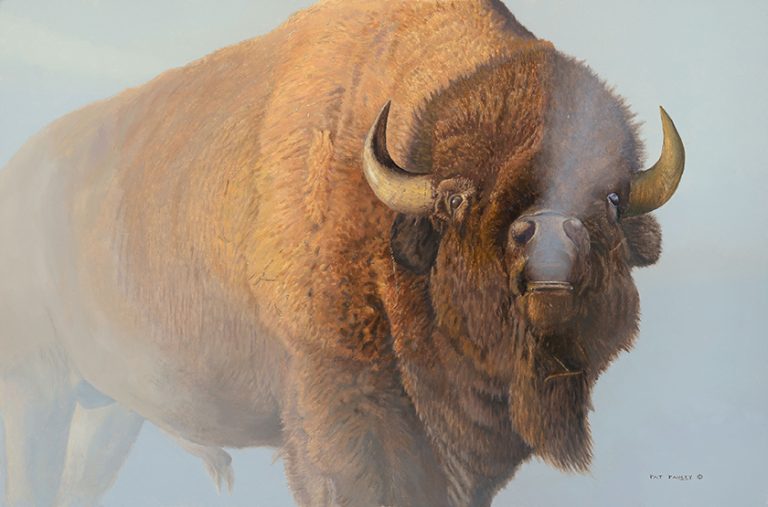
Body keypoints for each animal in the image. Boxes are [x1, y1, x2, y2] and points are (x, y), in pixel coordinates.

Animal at [0, 0, 684, 506]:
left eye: (613, 198)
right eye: (457, 197)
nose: (549, 234)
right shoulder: (343, 422)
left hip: (106, 412)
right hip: (36, 396)